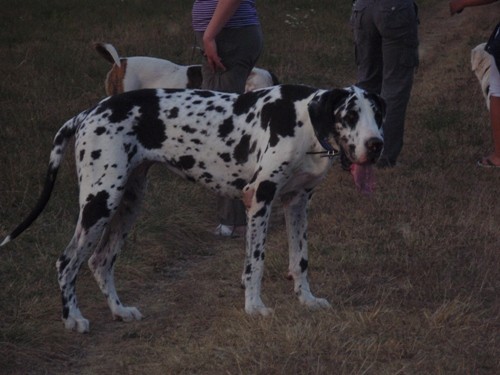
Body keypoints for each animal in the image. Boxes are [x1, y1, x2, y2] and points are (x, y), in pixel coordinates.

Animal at [0, 83, 384, 334]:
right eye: (350, 115)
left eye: (377, 115)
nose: (376, 144)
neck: (303, 119)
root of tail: (86, 113)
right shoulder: (259, 198)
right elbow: (255, 264)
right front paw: (254, 307)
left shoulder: (298, 203)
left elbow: (300, 261)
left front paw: (307, 300)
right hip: (100, 201)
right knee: (67, 262)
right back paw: (72, 319)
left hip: (128, 203)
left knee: (100, 260)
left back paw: (119, 311)